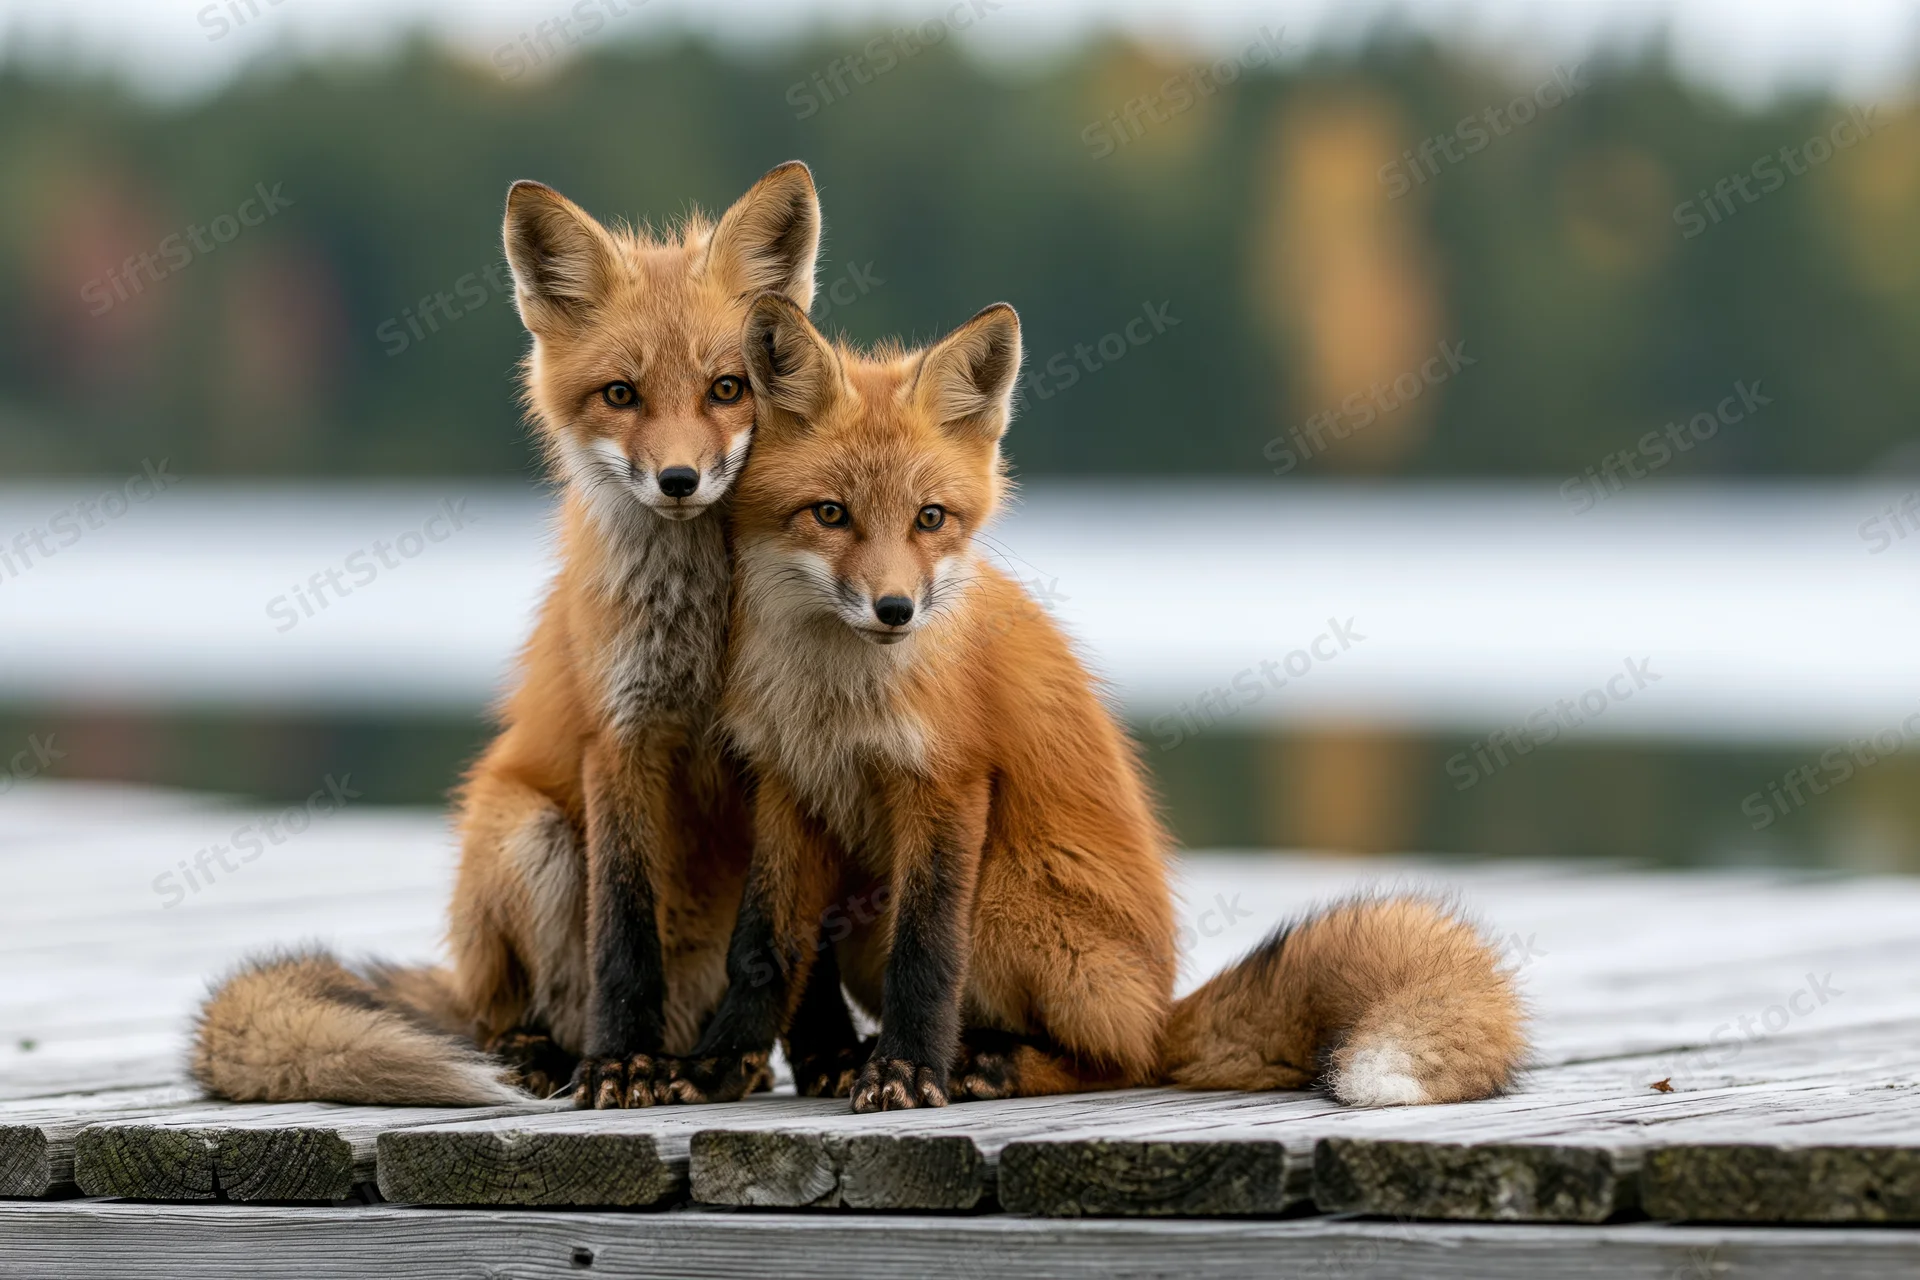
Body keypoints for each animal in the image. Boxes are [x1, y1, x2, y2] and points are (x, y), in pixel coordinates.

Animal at [190, 162, 848, 1109]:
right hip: (525, 832)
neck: (701, 627)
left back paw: (729, 1062)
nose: (679, 480)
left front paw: (810, 1054)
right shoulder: (622, 737)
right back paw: (558, 1056)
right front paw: (621, 1067)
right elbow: (623, 938)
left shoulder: (791, 753)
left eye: (728, 388)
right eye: (621, 395)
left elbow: (790, 936)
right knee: (521, 1013)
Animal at [639, 293, 1527, 1111]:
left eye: (930, 518)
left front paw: (906, 1073)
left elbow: (925, 957)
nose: (896, 610)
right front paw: (718, 1067)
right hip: (869, 924)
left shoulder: (948, 786)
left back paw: (987, 1066)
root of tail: (1163, 1008)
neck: (836, 697)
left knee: (1114, 1063)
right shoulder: (787, 788)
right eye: (830, 514)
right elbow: (763, 948)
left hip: (1000, 898)